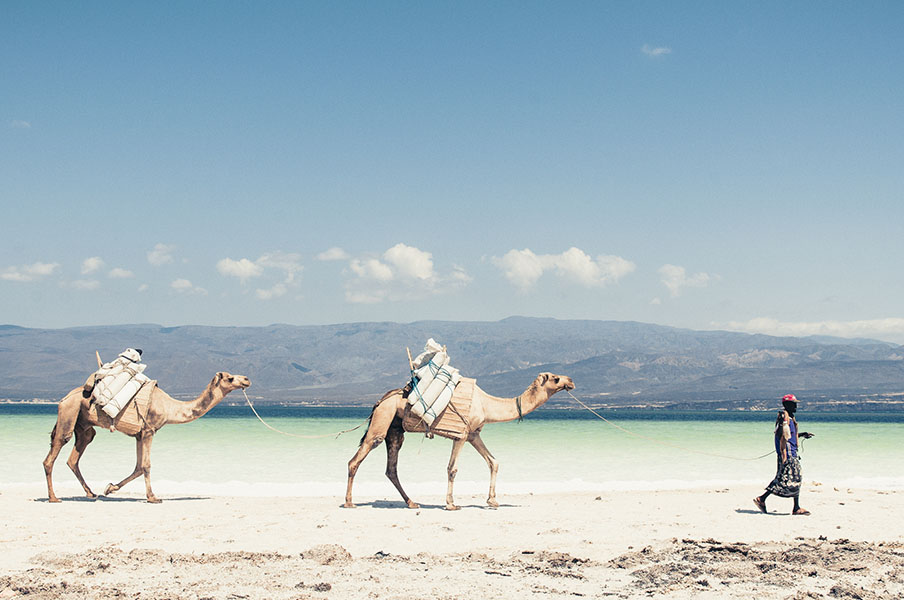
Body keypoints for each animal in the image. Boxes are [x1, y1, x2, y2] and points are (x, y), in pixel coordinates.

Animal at [346, 372, 572, 508]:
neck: (486, 404)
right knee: (356, 459)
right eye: (555, 378)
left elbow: (493, 462)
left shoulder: (473, 434)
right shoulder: (461, 436)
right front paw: (451, 504)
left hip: (395, 429)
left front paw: (492, 501)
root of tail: (379, 401)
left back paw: (412, 502)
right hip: (382, 419)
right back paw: (349, 502)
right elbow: (452, 468)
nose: (570, 380)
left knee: (391, 468)